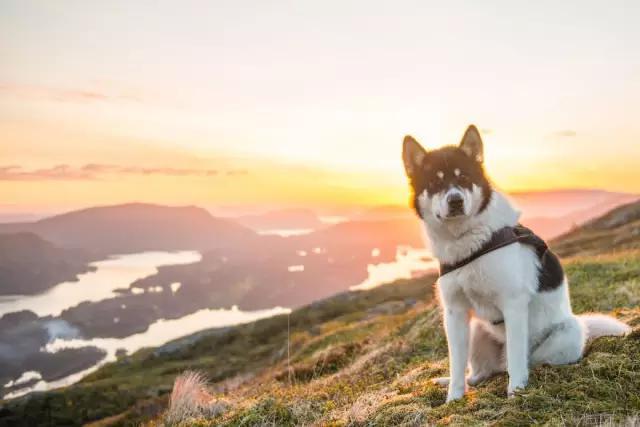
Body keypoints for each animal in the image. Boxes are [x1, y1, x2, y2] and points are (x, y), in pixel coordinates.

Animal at [400, 124, 632, 404]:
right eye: (435, 182)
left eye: (464, 177)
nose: (455, 200)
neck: (470, 242)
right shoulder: (455, 313)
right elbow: (456, 364)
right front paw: (453, 398)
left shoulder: (513, 305)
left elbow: (517, 357)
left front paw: (517, 390)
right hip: (477, 331)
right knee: (480, 373)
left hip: (567, 333)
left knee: (527, 360)